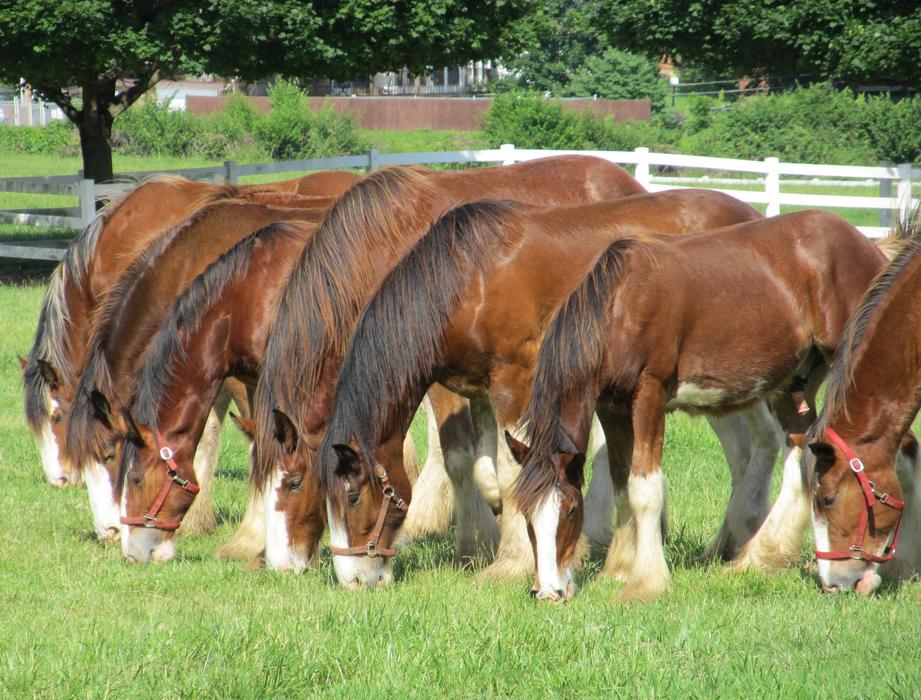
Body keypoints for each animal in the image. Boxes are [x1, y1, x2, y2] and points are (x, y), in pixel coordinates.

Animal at [305, 189, 764, 589]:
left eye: (352, 496)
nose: (352, 580)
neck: (470, 279)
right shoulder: (480, 392)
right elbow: (486, 470)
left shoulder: (514, 382)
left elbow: (513, 472)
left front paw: (513, 562)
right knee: (748, 453)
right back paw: (731, 547)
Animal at [512, 210, 886, 602]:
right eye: (527, 515)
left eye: (570, 511)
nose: (548, 592)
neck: (621, 305)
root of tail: (863, 243)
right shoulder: (611, 408)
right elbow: (621, 486)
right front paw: (619, 569)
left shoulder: (650, 395)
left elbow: (644, 490)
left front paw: (647, 581)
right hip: (795, 382)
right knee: (800, 453)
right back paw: (762, 556)